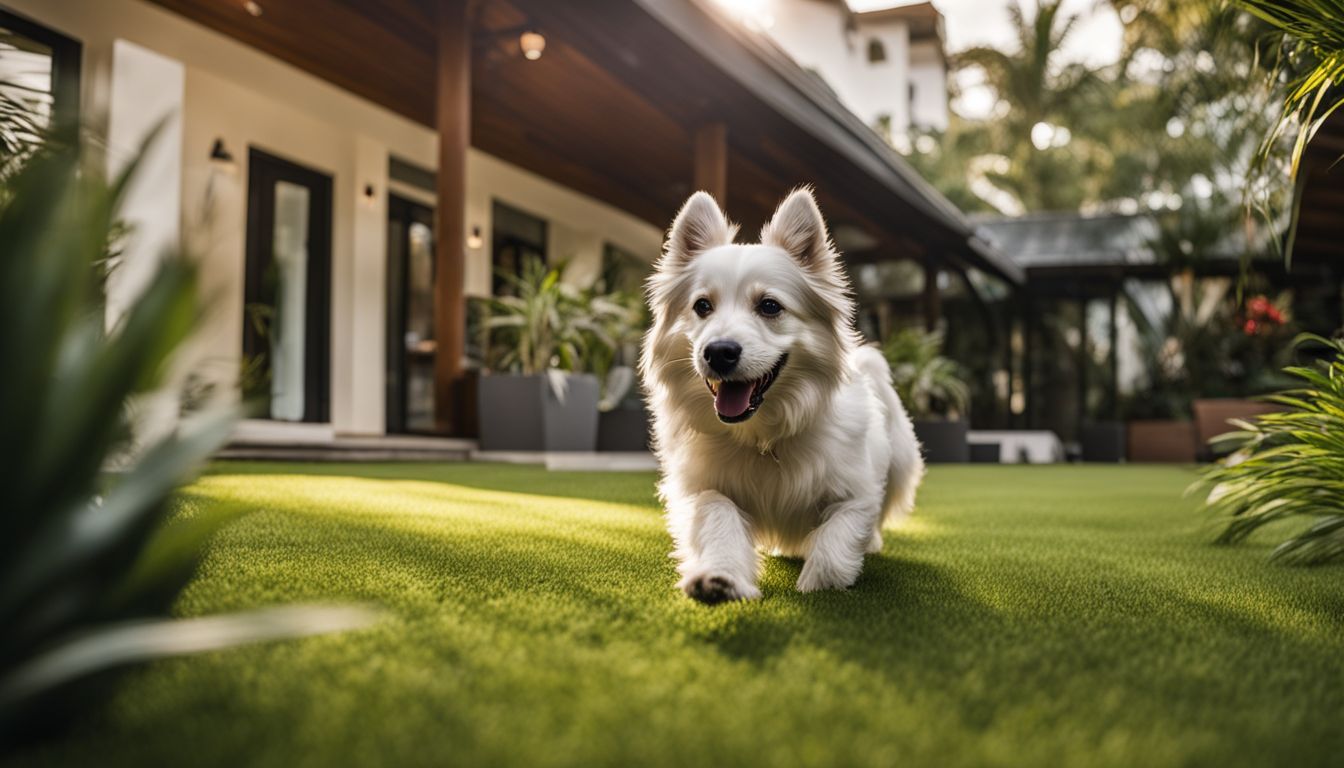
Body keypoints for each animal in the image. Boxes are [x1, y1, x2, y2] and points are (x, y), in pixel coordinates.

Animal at [639, 189, 924, 605]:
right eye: (702, 306)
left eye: (770, 306)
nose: (718, 352)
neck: (764, 435)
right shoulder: (702, 487)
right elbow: (717, 516)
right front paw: (719, 577)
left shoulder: (858, 494)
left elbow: (838, 538)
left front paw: (821, 584)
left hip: (902, 464)